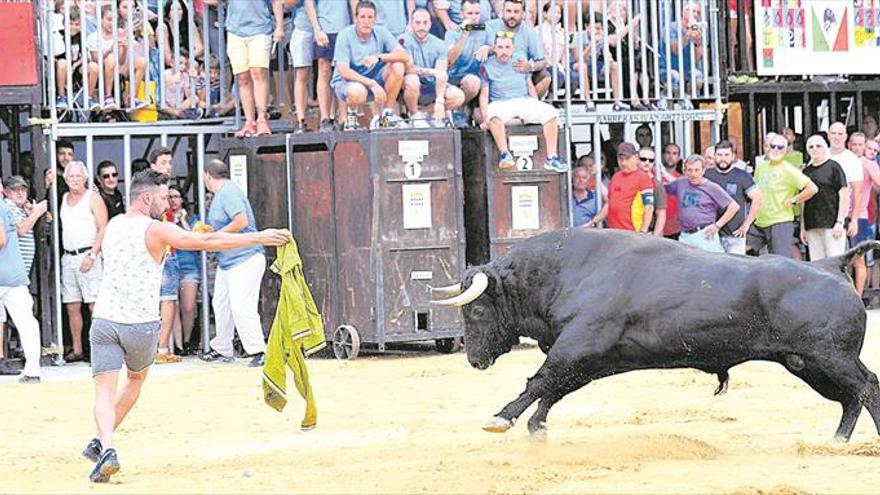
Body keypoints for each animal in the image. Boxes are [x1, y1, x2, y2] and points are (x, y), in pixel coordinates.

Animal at [432, 229, 880, 442]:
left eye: (475, 310)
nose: (475, 360)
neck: (567, 270)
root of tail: (832, 263)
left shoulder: (580, 344)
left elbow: (540, 380)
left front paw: (501, 418)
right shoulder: (595, 359)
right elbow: (556, 388)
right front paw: (537, 427)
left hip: (831, 357)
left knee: (867, 386)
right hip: (807, 365)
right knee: (850, 398)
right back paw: (837, 440)